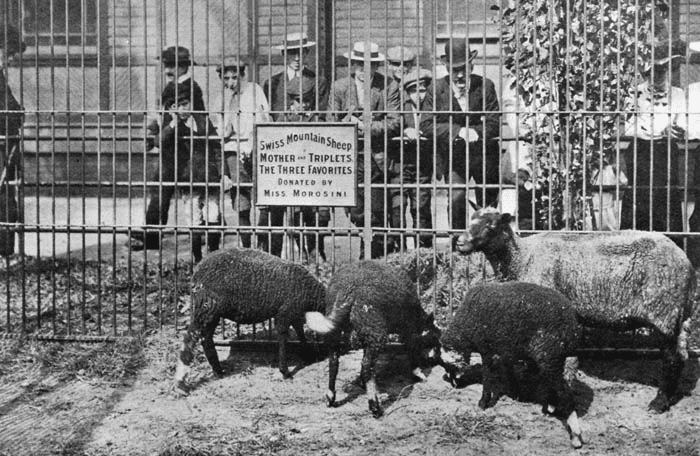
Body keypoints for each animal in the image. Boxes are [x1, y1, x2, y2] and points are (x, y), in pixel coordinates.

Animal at [174, 248, 326, 389]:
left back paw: (218, 371)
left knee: (206, 339)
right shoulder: (285, 312)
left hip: (212, 313)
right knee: (191, 336)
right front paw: (285, 371)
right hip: (206, 307)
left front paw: (309, 355)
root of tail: (196, 273)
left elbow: (300, 332)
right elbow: (283, 337)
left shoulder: (294, 312)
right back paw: (181, 381)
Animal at [305, 260, 442, 418]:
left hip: (339, 330)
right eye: (434, 335)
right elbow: (411, 347)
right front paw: (418, 372)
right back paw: (375, 406)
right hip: (374, 328)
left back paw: (331, 396)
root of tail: (346, 291)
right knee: (367, 367)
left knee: (334, 361)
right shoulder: (407, 328)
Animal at [441, 281, 583, 449]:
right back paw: (549, 408)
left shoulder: (487, 349)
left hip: (550, 356)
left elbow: (487, 377)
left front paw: (483, 403)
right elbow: (506, 372)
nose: (454, 386)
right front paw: (513, 391)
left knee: (566, 395)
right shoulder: (504, 352)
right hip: (560, 358)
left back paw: (575, 437)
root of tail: (572, 323)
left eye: (447, 366)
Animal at [456, 207, 697, 413]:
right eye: (470, 219)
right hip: (678, 317)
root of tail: (686, 261)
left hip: (663, 312)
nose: (459, 242)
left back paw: (658, 403)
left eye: (491, 225)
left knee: (671, 359)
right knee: (681, 357)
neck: (521, 257)